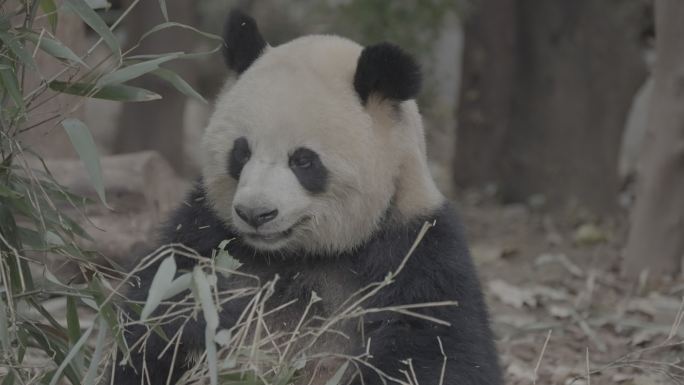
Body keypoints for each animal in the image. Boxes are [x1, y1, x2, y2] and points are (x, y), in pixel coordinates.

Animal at [115, 9, 502, 384]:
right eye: (241, 152)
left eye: (303, 160)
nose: (255, 214)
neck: (300, 254)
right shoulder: (202, 229)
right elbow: (149, 321)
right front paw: (208, 313)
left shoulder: (417, 251)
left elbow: (441, 351)